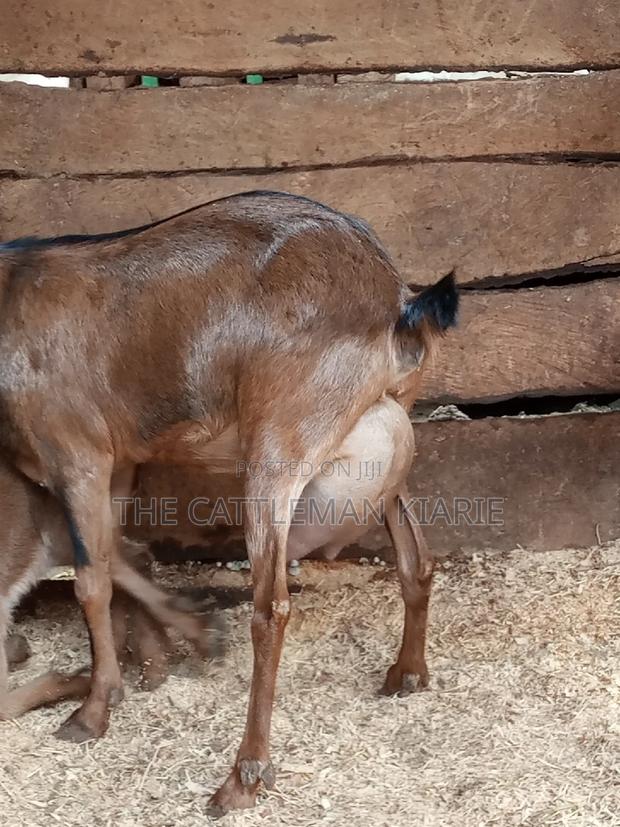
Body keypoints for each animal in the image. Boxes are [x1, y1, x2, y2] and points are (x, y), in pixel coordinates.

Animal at [0, 190, 457, 811]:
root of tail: (396, 299)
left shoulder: (78, 455)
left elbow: (91, 582)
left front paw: (93, 710)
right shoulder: (121, 462)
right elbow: (117, 554)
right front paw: (183, 640)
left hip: (278, 446)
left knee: (272, 608)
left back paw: (245, 774)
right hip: (388, 426)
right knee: (416, 557)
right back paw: (407, 673)